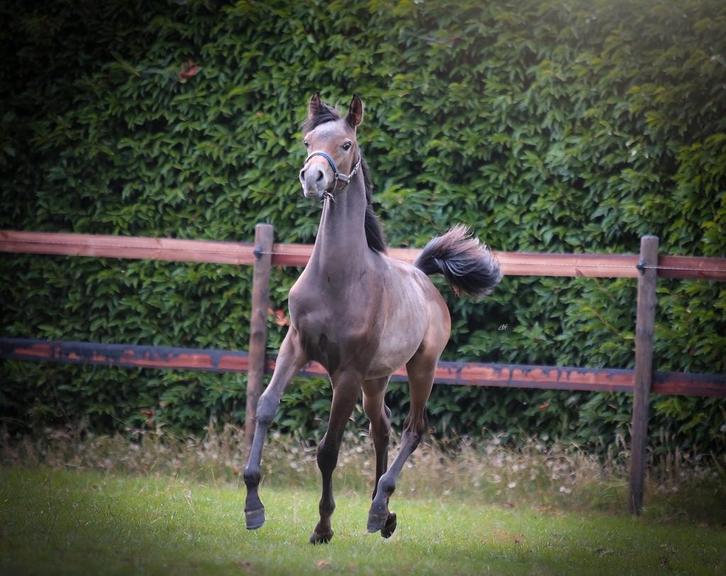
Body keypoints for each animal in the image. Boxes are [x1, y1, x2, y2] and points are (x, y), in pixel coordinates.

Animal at [243, 94, 502, 544]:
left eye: (346, 144)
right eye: (309, 140)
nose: (313, 178)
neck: (338, 278)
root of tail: (421, 275)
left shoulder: (346, 372)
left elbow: (328, 449)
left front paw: (323, 527)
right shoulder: (296, 346)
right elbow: (266, 407)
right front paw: (253, 507)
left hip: (420, 368)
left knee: (413, 429)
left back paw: (380, 508)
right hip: (375, 379)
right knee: (381, 427)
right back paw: (381, 512)